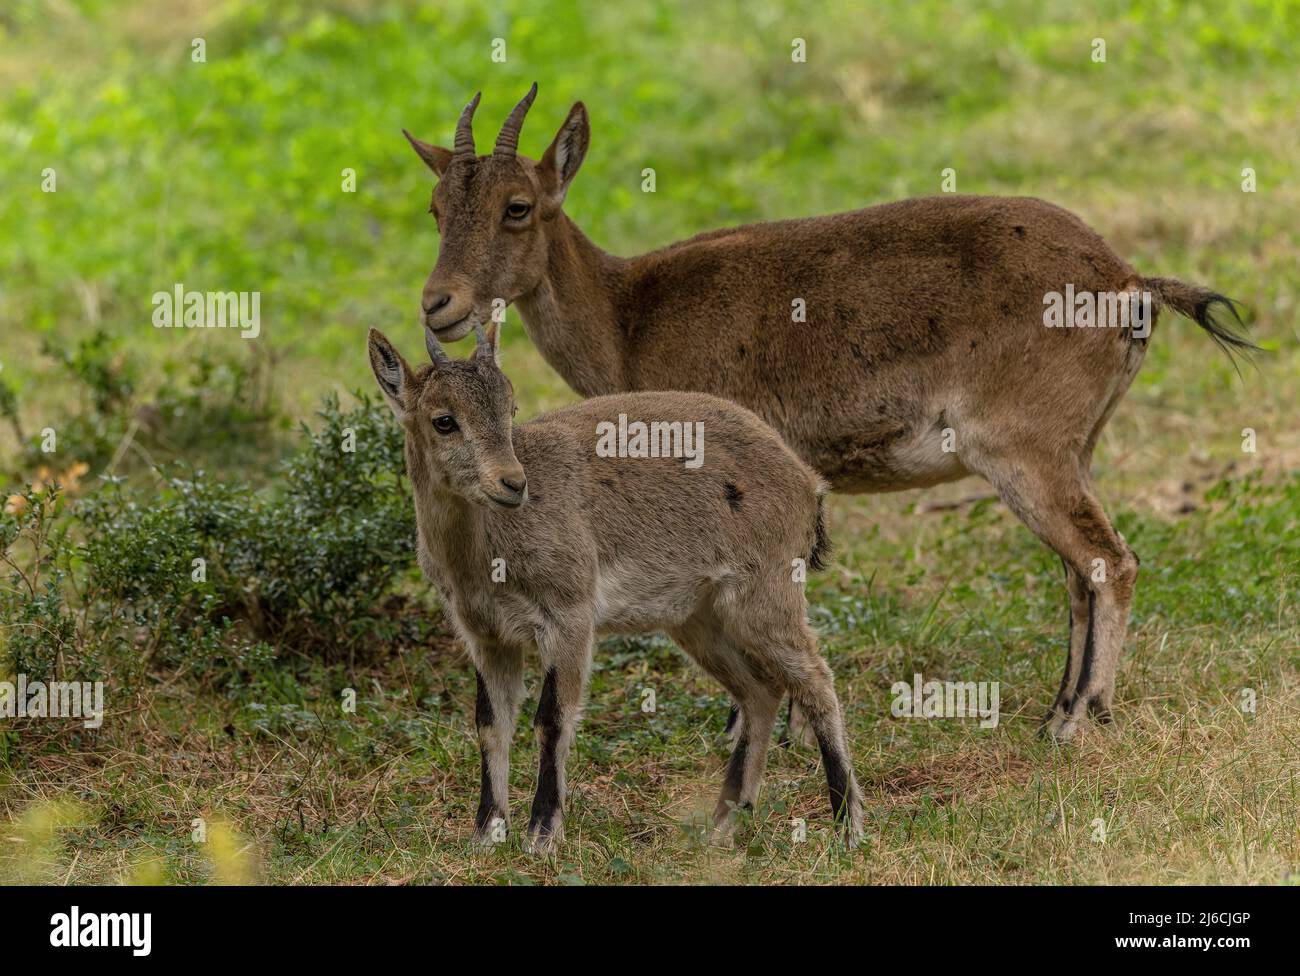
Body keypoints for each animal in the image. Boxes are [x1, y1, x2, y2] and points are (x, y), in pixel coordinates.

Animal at [367, 324, 863, 851]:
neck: (485, 557)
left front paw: (542, 833)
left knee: (816, 680)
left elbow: (552, 719)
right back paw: (722, 824)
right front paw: (487, 831)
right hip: (699, 618)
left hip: (766, 596)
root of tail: (808, 483)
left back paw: (847, 826)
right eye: (444, 421)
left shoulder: (569, 615)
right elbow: (490, 724)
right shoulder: (486, 636)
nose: (513, 483)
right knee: (760, 691)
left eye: (510, 409)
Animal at [402, 86, 1255, 742]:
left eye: (518, 206)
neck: (626, 317)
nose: (438, 303)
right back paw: (1055, 711)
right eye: (437, 205)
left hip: (1025, 449)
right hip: (1076, 448)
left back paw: (1081, 720)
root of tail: (1127, 281)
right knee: (1079, 573)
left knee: (1110, 562)